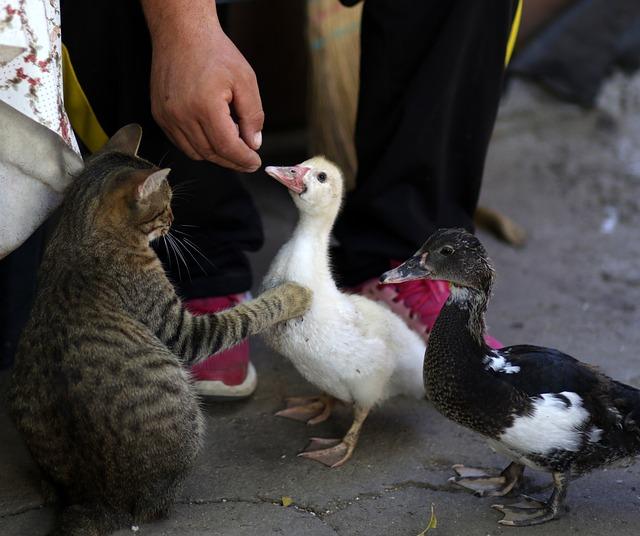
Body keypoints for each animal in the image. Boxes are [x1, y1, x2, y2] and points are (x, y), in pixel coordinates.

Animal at [6, 125, 312, 536]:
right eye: (165, 203)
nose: (172, 218)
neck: (79, 233)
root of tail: (98, 501)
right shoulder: (182, 330)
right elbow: (244, 316)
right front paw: (294, 294)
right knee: (155, 508)